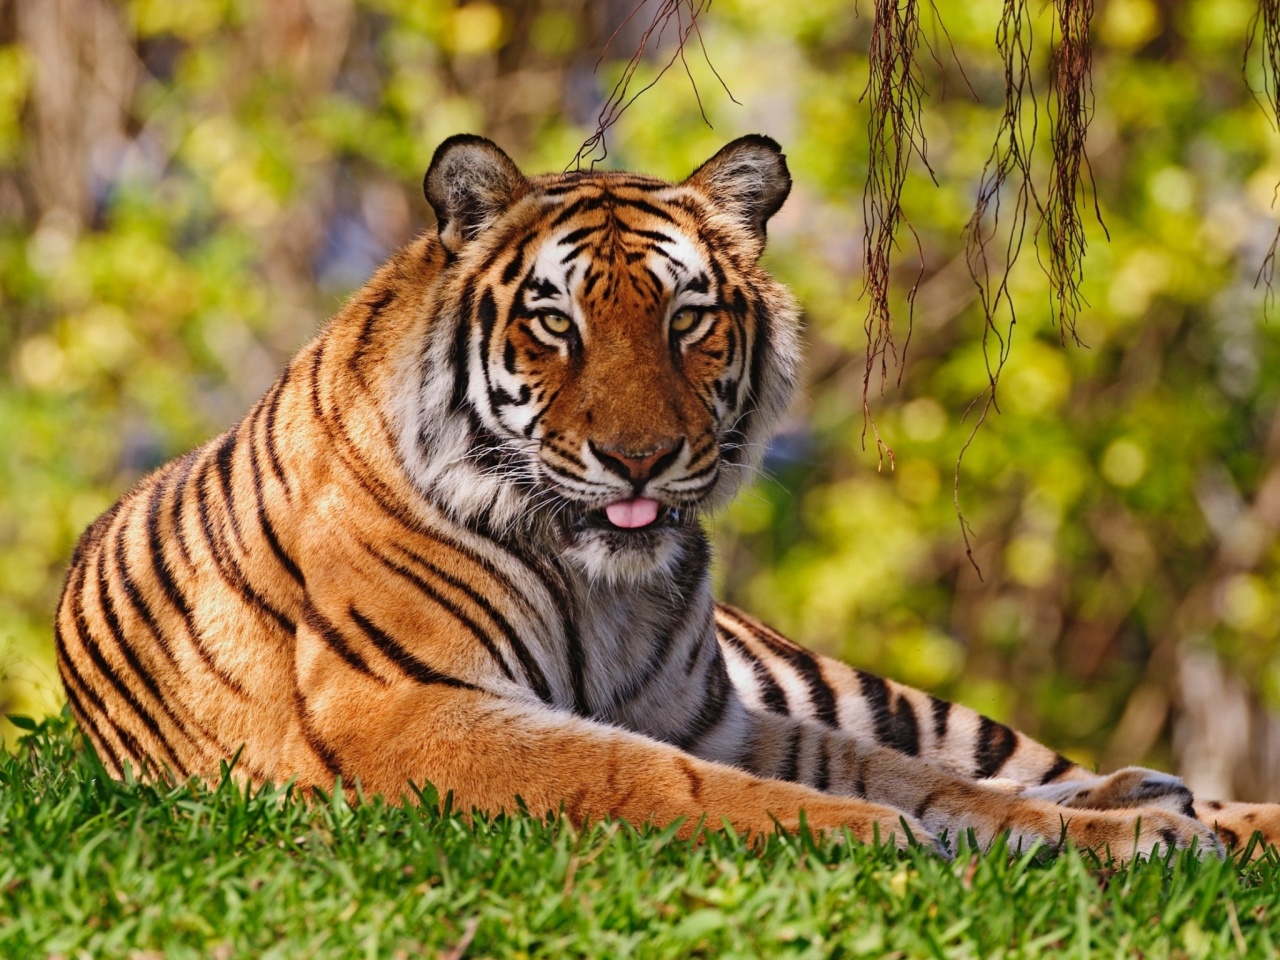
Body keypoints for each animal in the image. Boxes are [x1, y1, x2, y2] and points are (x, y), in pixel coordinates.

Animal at [57, 133, 1280, 855]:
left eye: (687, 318)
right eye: (554, 321)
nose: (639, 458)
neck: (604, 584)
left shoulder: (718, 713)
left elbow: (926, 780)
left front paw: (1115, 838)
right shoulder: (410, 710)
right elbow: (653, 779)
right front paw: (876, 834)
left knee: (1022, 762)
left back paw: (1168, 803)